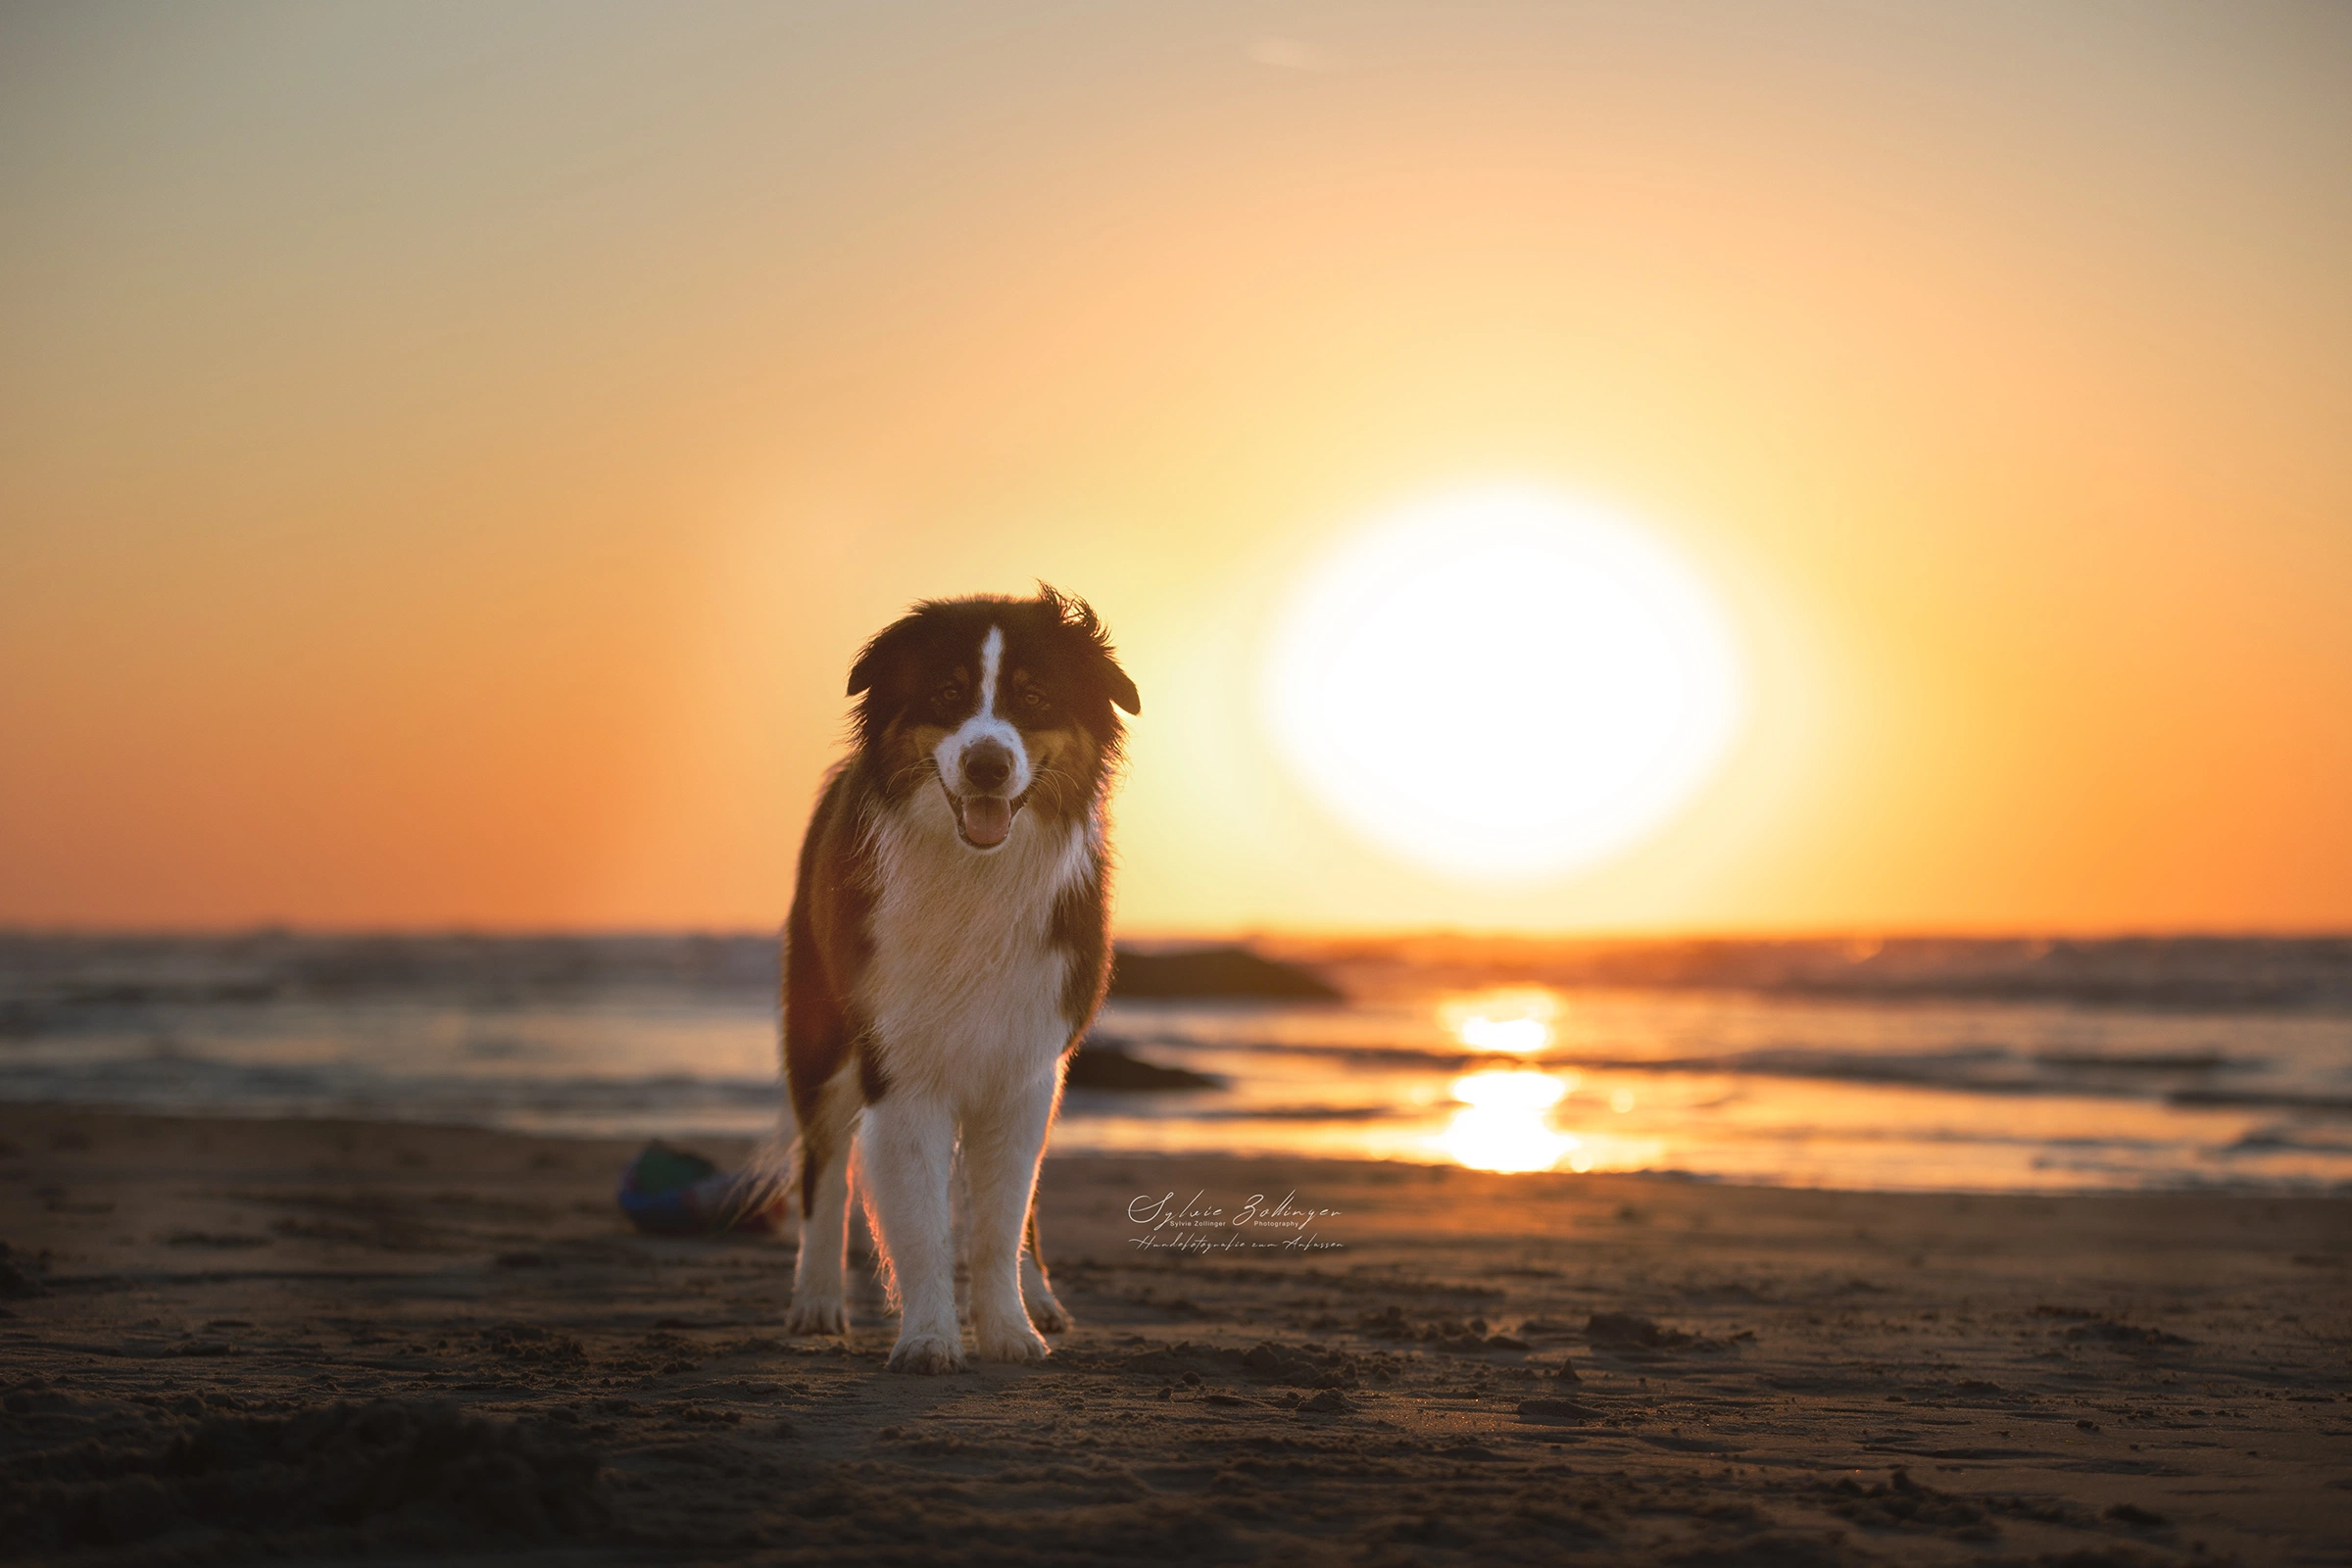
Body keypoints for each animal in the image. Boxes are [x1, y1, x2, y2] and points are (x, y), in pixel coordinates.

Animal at [780, 585, 1138, 1372]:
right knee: (824, 1163)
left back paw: (1039, 1298)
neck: (977, 872)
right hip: (818, 1034)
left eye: (1033, 697)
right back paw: (815, 1300)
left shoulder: (1027, 1064)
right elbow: (920, 1224)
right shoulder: (899, 1065)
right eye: (946, 692)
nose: (986, 766)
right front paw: (928, 1337)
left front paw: (1009, 1330)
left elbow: (1001, 1217)